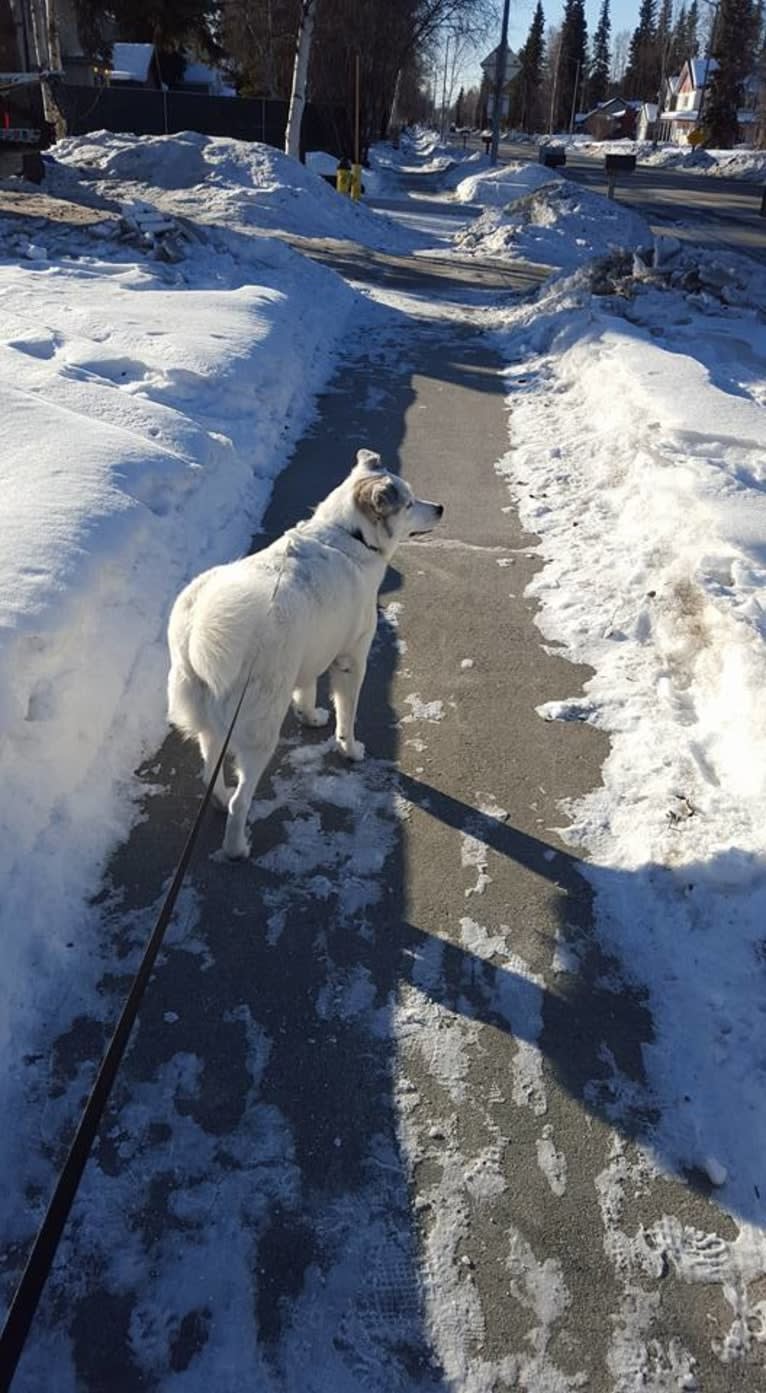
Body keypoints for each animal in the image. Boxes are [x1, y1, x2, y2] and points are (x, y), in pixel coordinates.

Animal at [168, 445, 445, 858]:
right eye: (409, 503)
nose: (440, 507)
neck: (349, 535)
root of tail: (198, 628)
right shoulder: (351, 660)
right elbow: (347, 715)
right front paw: (349, 748)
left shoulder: (309, 654)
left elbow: (307, 691)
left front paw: (310, 716)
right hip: (259, 730)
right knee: (240, 803)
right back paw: (237, 847)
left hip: (213, 726)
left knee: (209, 774)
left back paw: (218, 799)